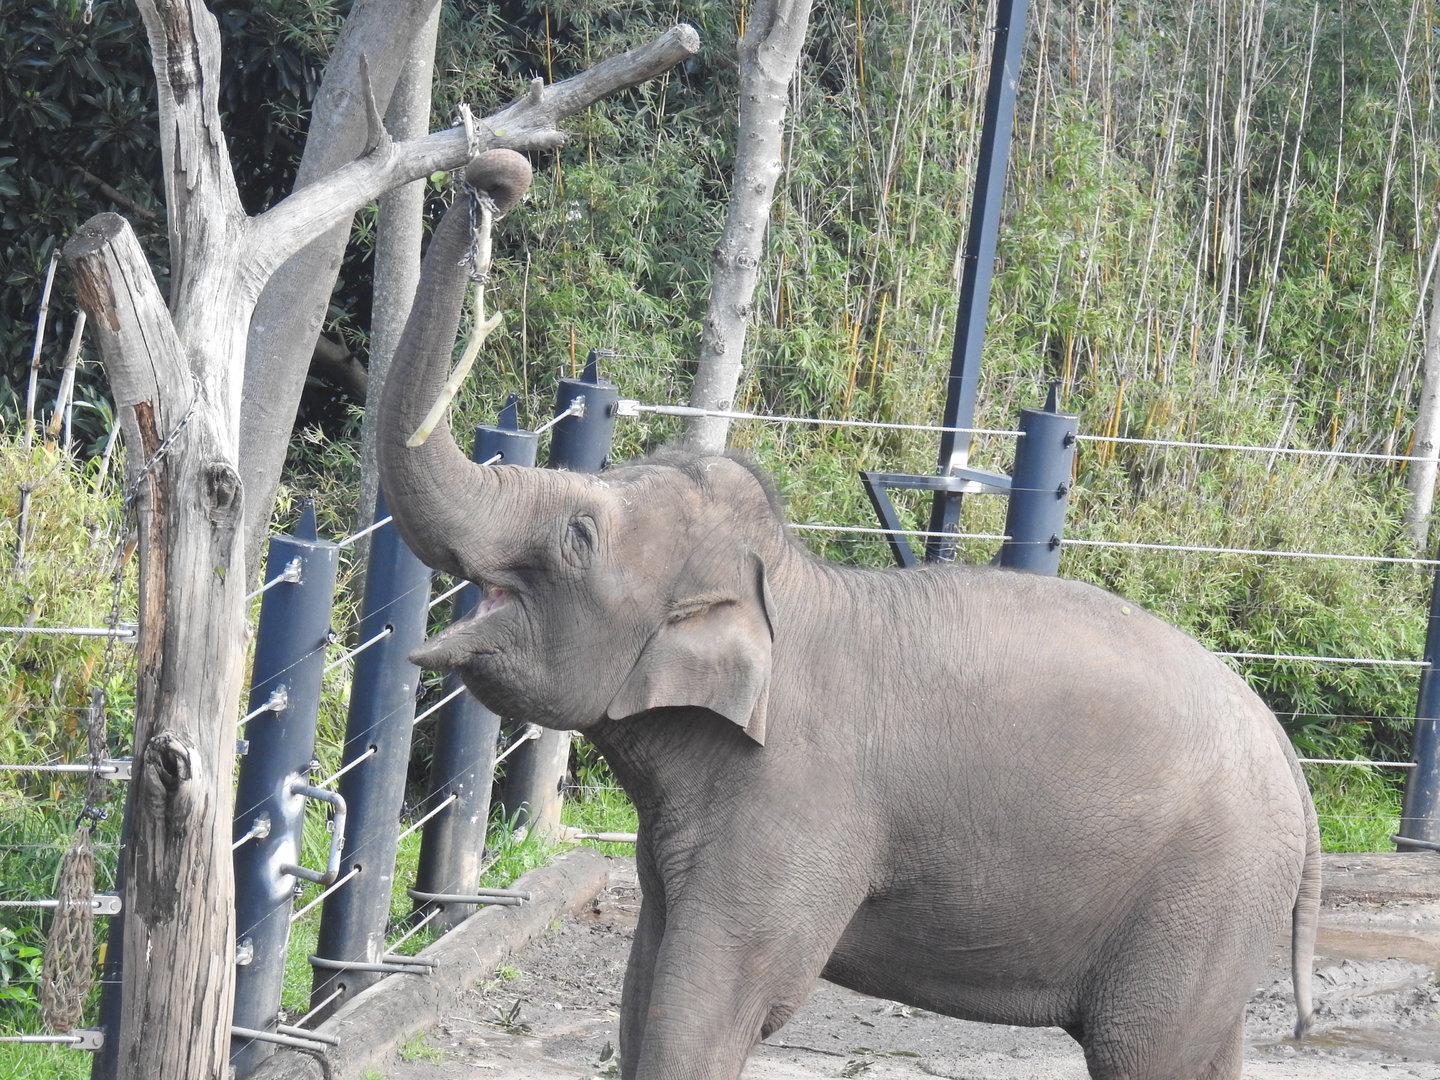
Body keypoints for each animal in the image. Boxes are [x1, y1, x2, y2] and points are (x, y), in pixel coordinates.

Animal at [377, 152, 1321, 1080]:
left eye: (578, 535)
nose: (499, 174)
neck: (783, 588)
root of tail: (1290, 763)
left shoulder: (795, 798)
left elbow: (716, 1002)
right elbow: (643, 987)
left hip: (1202, 900)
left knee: (1145, 1051)